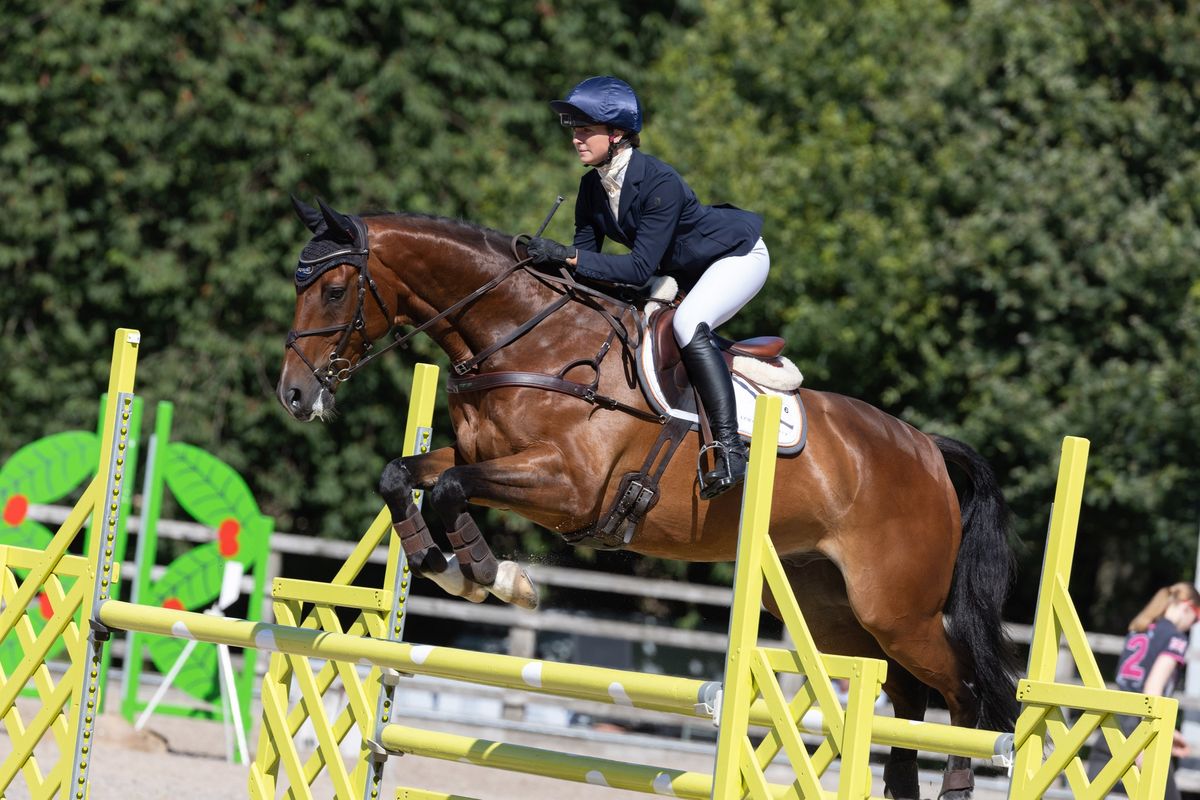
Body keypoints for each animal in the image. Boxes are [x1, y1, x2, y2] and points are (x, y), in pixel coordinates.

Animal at [278, 196, 1012, 796]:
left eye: (336, 289)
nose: (294, 393)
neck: (530, 338)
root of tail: (925, 448)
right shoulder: (484, 457)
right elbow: (402, 477)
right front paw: (447, 567)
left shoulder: (569, 487)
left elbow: (452, 491)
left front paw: (495, 576)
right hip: (828, 607)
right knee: (906, 692)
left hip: (898, 609)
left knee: (963, 690)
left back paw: (955, 784)